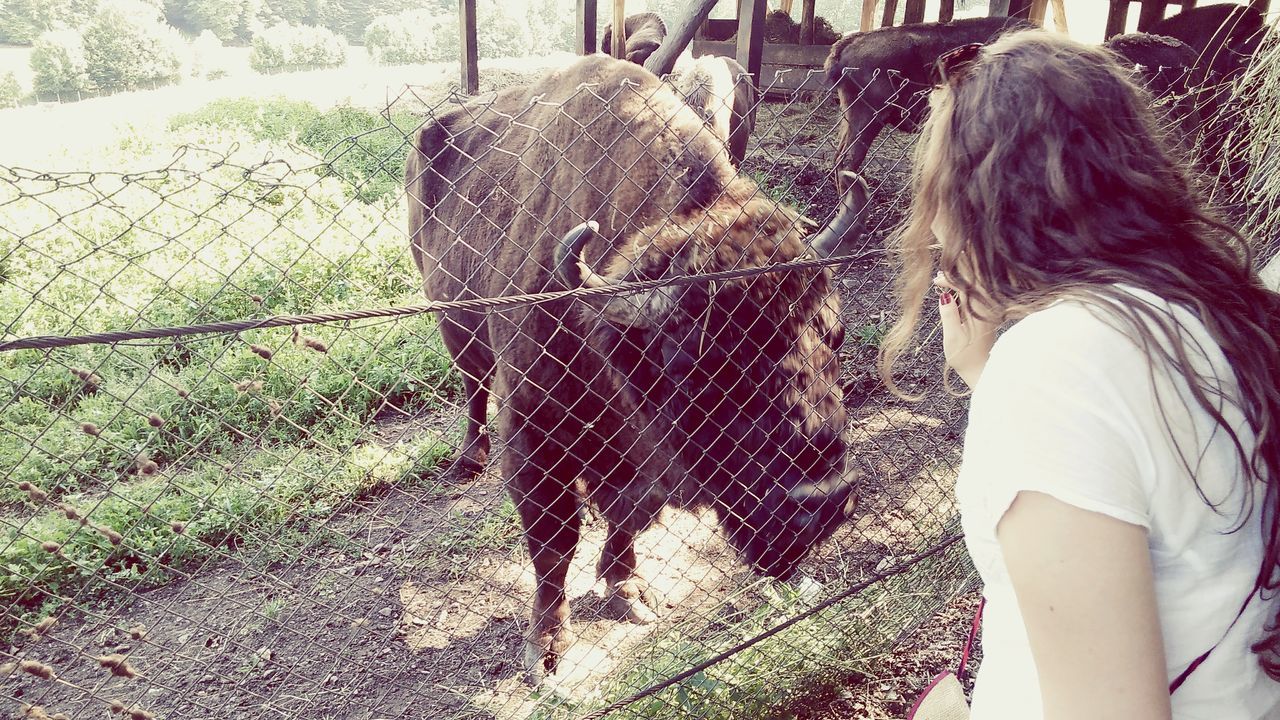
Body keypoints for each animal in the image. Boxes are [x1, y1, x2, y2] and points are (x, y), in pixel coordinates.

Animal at [404, 53, 855, 676]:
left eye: (833, 334)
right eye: (694, 358)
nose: (823, 502)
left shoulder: (643, 460)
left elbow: (628, 516)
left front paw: (628, 591)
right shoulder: (534, 433)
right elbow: (554, 541)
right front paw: (547, 647)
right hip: (450, 319)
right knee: (473, 386)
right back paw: (469, 460)